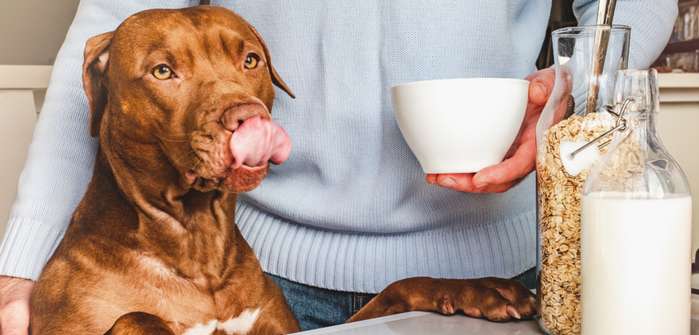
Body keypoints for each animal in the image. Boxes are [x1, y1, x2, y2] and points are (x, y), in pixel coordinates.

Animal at [28, 5, 536, 335]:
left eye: (250, 60)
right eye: (162, 71)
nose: (247, 117)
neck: (196, 241)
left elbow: (400, 284)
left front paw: (485, 291)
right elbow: (137, 316)